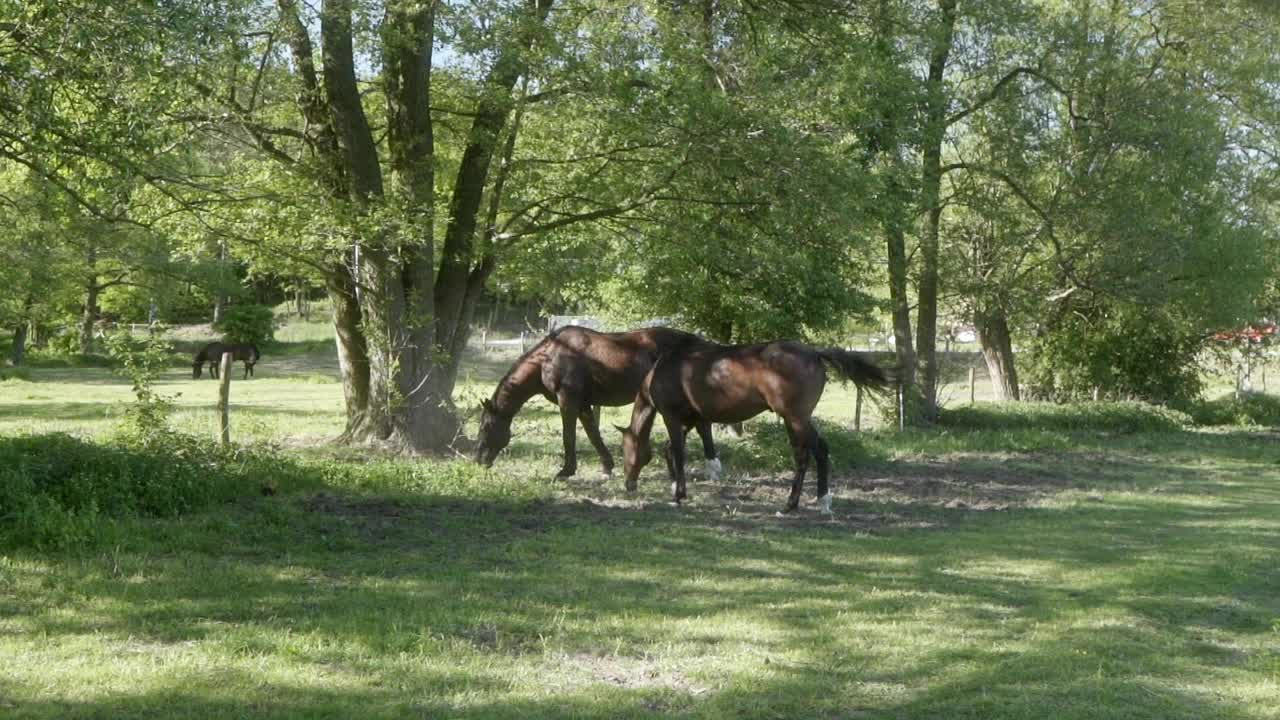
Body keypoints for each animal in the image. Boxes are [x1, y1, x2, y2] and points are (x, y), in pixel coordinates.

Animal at [476, 325, 727, 476]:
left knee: (704, 426)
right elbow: (593, 433)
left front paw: (566, 471)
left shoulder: (568, 401)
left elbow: (569, 435)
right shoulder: (584, 404)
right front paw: (607, 467)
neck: (549, 357)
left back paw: (712, 466)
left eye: (486, 426)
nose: (478, 459)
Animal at [619, 340, 890, 509]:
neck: (667, 369)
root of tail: (814, 353)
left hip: (795, 418)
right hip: (797, 420)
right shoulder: (690, 421)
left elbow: (677, 452)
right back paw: (801, 502)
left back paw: (807, 503)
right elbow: (670, 450)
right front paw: (677, 487)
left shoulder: (672, 418)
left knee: (815, 453)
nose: (628, 484)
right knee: (806, 455)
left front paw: (677, 495)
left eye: (626, 451)